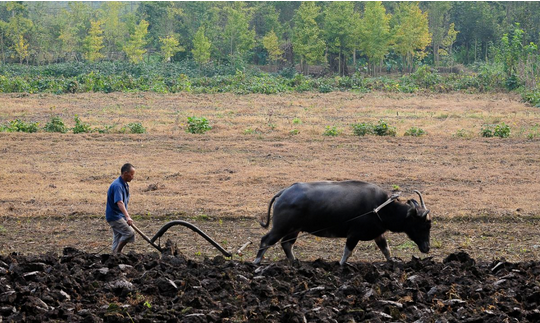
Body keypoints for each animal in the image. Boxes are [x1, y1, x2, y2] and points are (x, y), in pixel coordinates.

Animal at [255, 180, 432, 266]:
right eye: (424, 225)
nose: (427, 248)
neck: (380, 208)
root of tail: (284, 192)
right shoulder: (353, 235)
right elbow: (347, 252)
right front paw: (340, 265)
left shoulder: (378, 234)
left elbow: (385, 249)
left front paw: (392, 261)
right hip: (281, 227)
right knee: (266, 241)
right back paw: (257, 263)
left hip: (294, 230)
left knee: (286, 244)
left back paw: (294, 261)